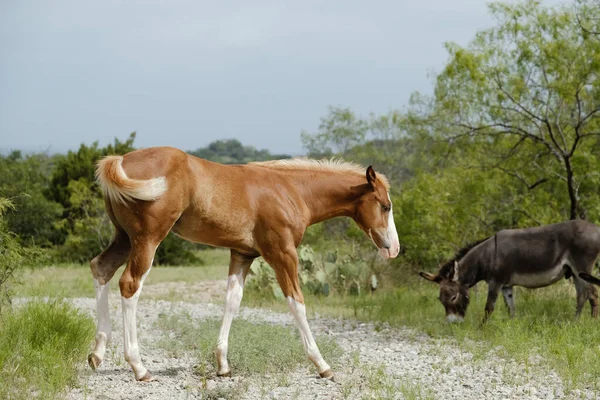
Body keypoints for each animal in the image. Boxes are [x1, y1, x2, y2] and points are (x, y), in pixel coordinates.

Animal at [88, 146, 398, 382]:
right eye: (385, 206)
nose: (393, 249)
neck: (290, 189)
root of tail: (120, 160)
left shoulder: (242, 254)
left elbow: (232, 301)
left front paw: (223, 364)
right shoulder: (282, 253)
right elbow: (296, 302)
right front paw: (322, 365)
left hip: (124, 237)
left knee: (101, 268)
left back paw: (97, 354)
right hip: (148, 239)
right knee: (130, 284)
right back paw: (139, 367)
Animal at [420, 220, 596, 324]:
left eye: (454, 297)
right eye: (440, 300)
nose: (453, 324)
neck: (486, 256)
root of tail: (596, 228)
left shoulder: (496, 283)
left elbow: (489, 307)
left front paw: (481, 328)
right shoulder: (506, 286)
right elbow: (510, 308)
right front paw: (513, 326)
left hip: (582, 268)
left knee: (591, 294)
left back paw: (589, 322)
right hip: (575, 272)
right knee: (583, 295)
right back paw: (576, 323)